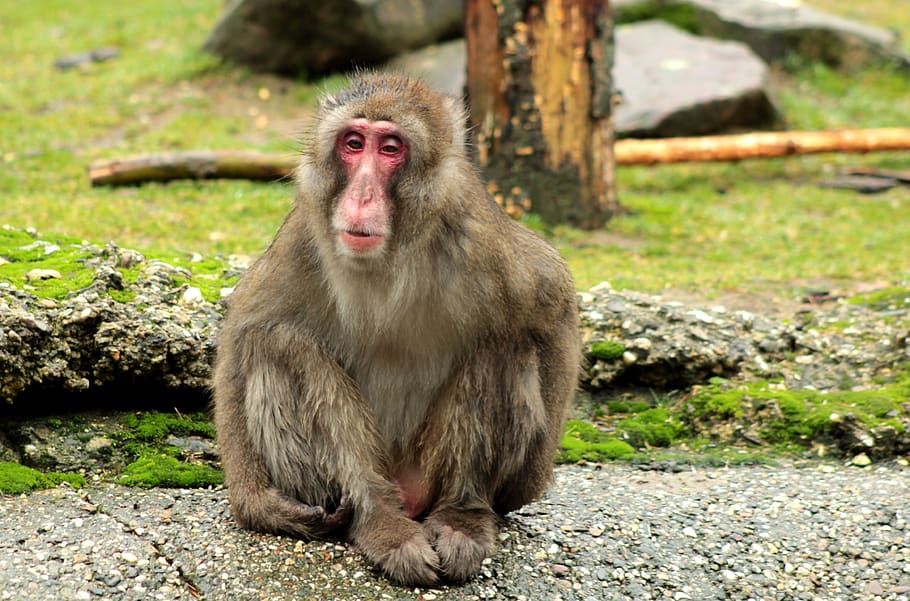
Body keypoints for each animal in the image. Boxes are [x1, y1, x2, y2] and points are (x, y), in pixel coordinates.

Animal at [212, 72, 580, 586]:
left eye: (390, 148)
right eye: (353, 144)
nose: (361, 195)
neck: (394, 256)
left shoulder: (484, 240)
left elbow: (552, 306)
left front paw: (519, 490)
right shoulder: (303, 239)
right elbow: (248, 327)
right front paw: (257, 503)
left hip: (429, 468)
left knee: (506, 344)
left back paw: (464, 512)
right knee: (278, 344)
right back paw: (379, 517)